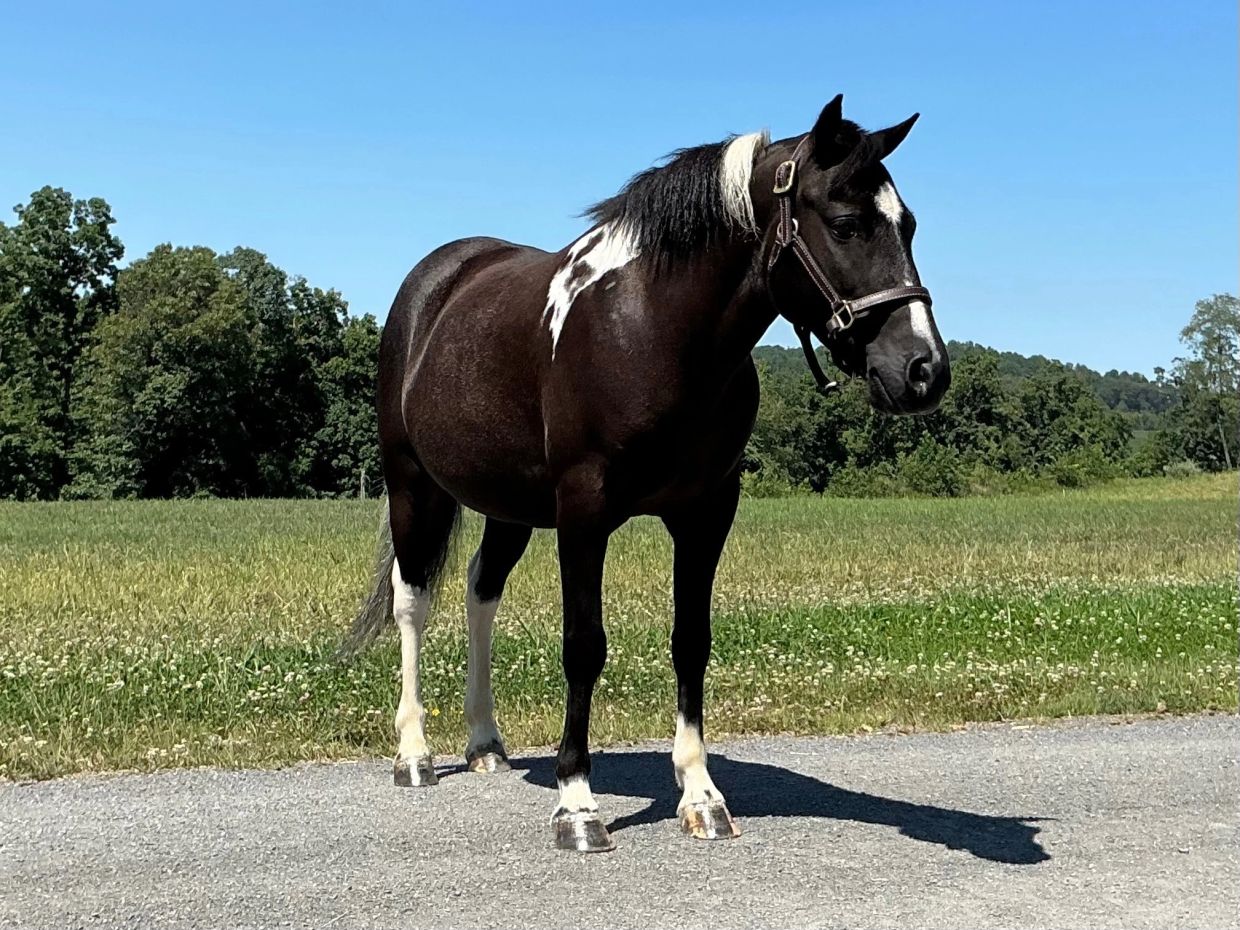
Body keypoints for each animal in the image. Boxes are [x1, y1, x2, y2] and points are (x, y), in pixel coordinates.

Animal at [346, 94, 951, 852]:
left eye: (909, 224)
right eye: (845, 224)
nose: (924, 371)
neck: (652, 330)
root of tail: (434, 282)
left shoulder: (705, 512)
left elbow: (691, 641)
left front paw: (701, 795)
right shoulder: (583, 511)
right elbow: (583, 646)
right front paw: (578, 806)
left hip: (509, 505)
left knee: (481, 593)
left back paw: (485, 742)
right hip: (412, 485)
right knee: (413, 602)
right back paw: (415, 754)